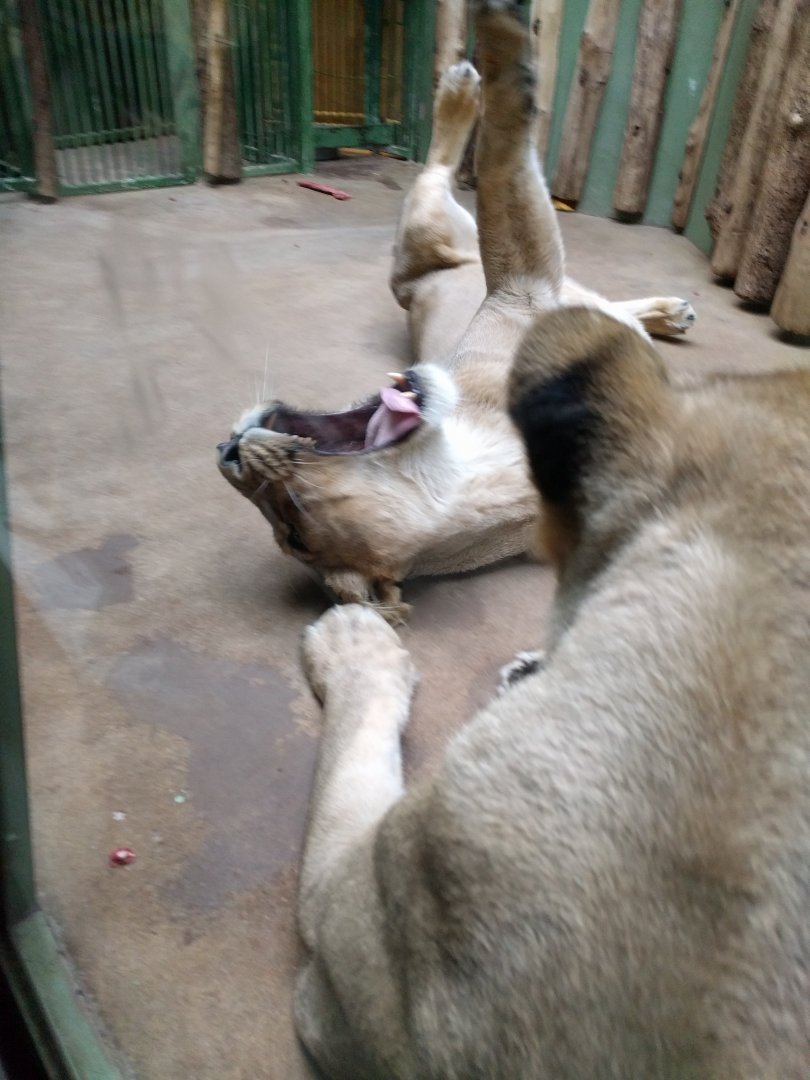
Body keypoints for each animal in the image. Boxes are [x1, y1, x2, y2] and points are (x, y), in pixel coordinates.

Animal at [216, 4, 696, 624]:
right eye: (292, 529)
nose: (226, 453)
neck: (480, 465)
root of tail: (410, 283)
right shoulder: (524, 283)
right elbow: (501, 162)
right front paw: (506, 46)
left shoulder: (522, 294)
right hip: (429, 230)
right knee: (441, 169)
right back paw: (463, 88)